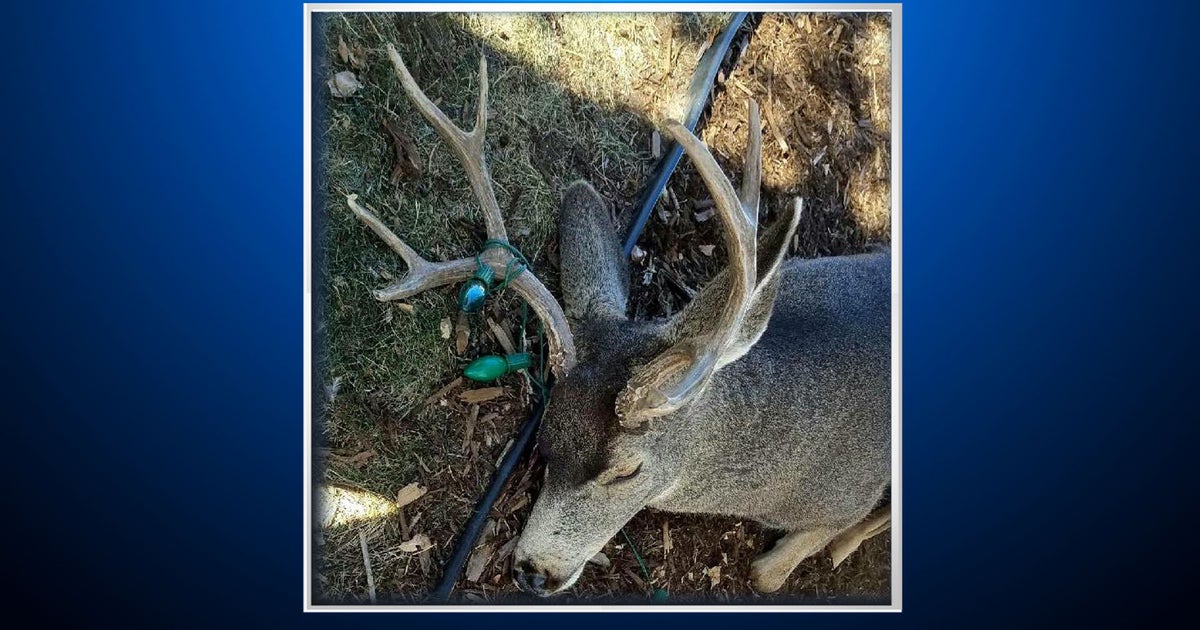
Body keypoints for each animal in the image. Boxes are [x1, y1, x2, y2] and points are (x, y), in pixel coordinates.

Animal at [347, 46, 891, 597]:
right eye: (544, 443)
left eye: (627, 472)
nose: (532, 571)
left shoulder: (852, 496)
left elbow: (770, 574)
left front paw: (806, 555)